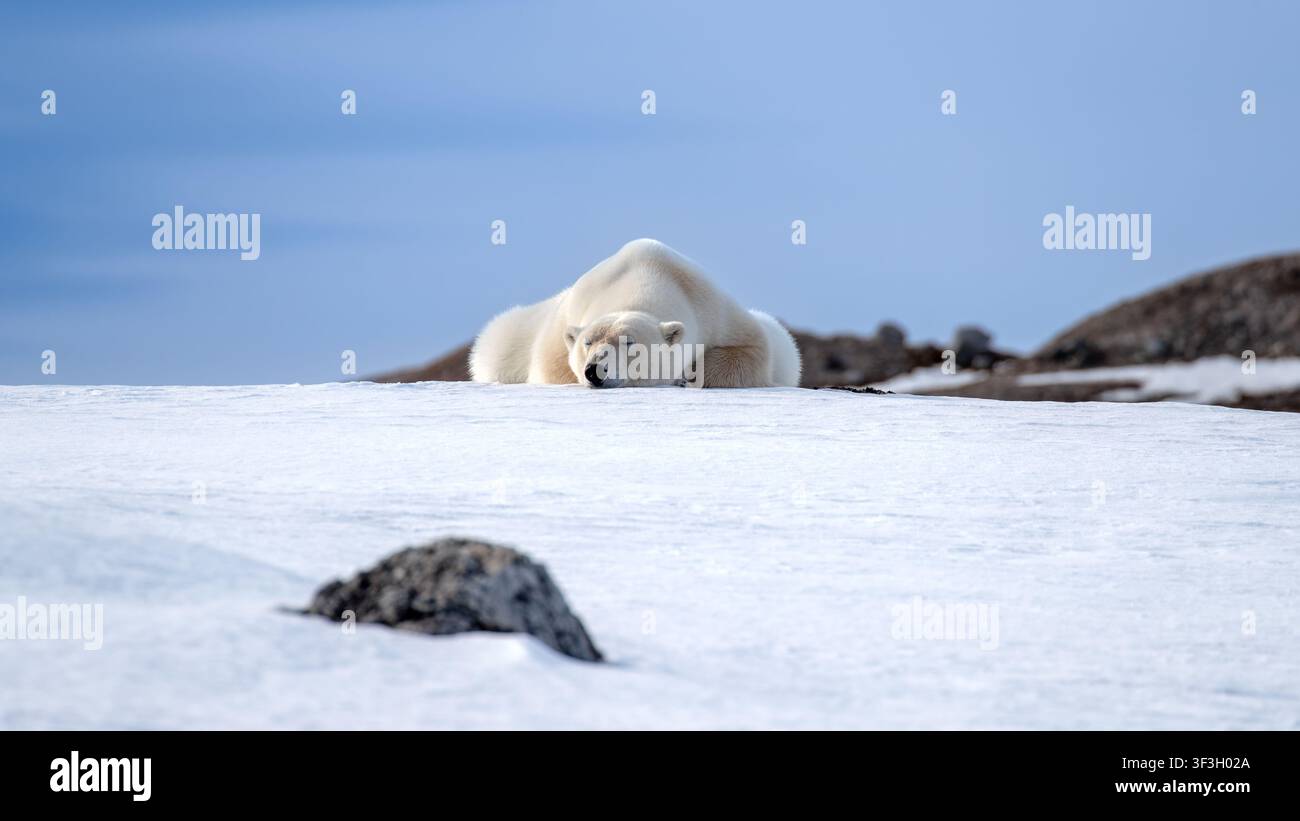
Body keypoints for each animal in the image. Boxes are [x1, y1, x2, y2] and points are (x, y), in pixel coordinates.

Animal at [469, 239, 801, 388]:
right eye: (587, 343)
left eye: (629, 343)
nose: (594, 370)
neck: (648, 273)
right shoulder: (564, 323)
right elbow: (553, 367)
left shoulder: (712, 307)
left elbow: (752, 350)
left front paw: (688, 375)